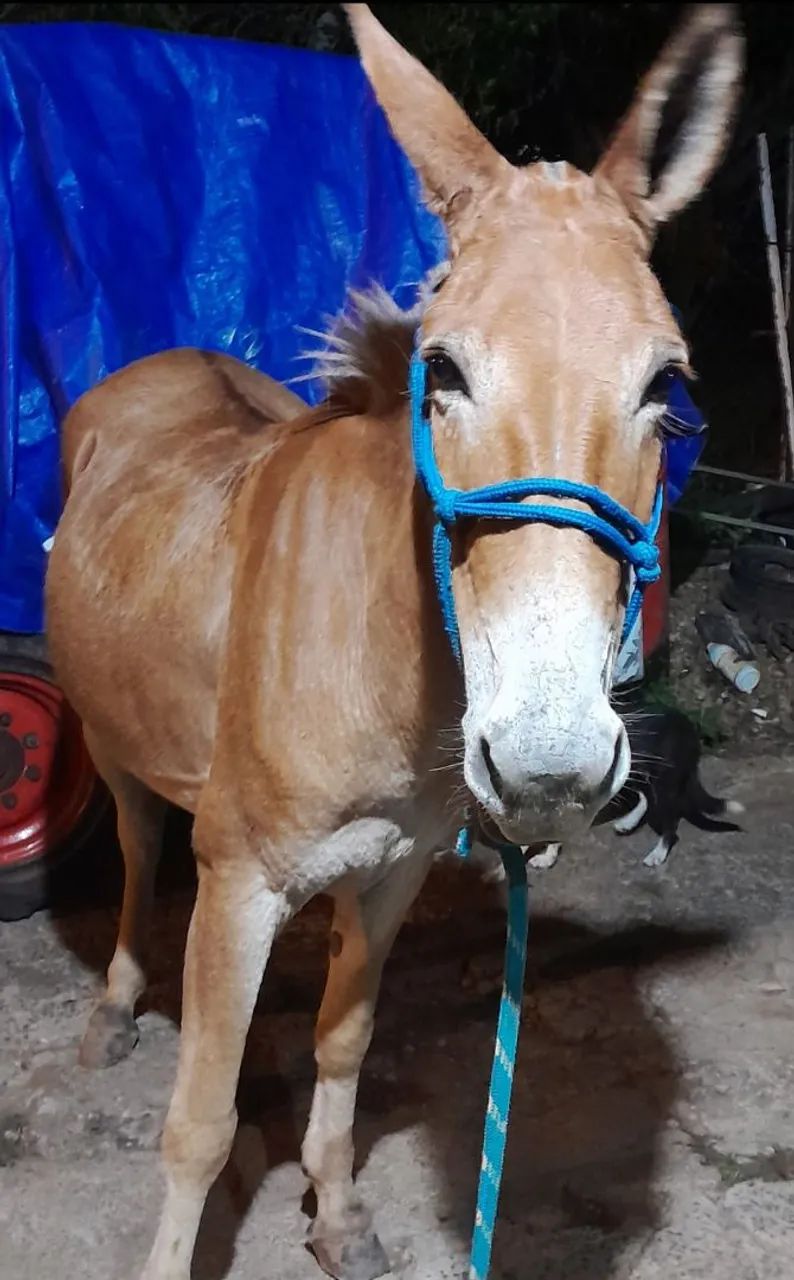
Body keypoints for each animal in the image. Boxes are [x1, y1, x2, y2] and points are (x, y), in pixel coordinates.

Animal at [45, 5, 742, 1278]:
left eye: (665, 385)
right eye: (442, 371)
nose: (549, 759)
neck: (382, 659)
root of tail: (157, 361)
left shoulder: (394, 868)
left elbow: (344, 1042)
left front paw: (338, 1215)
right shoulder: (237, 886)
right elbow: (198, 1122)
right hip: (115, 747)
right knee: (132, 848)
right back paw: (115, 1002)